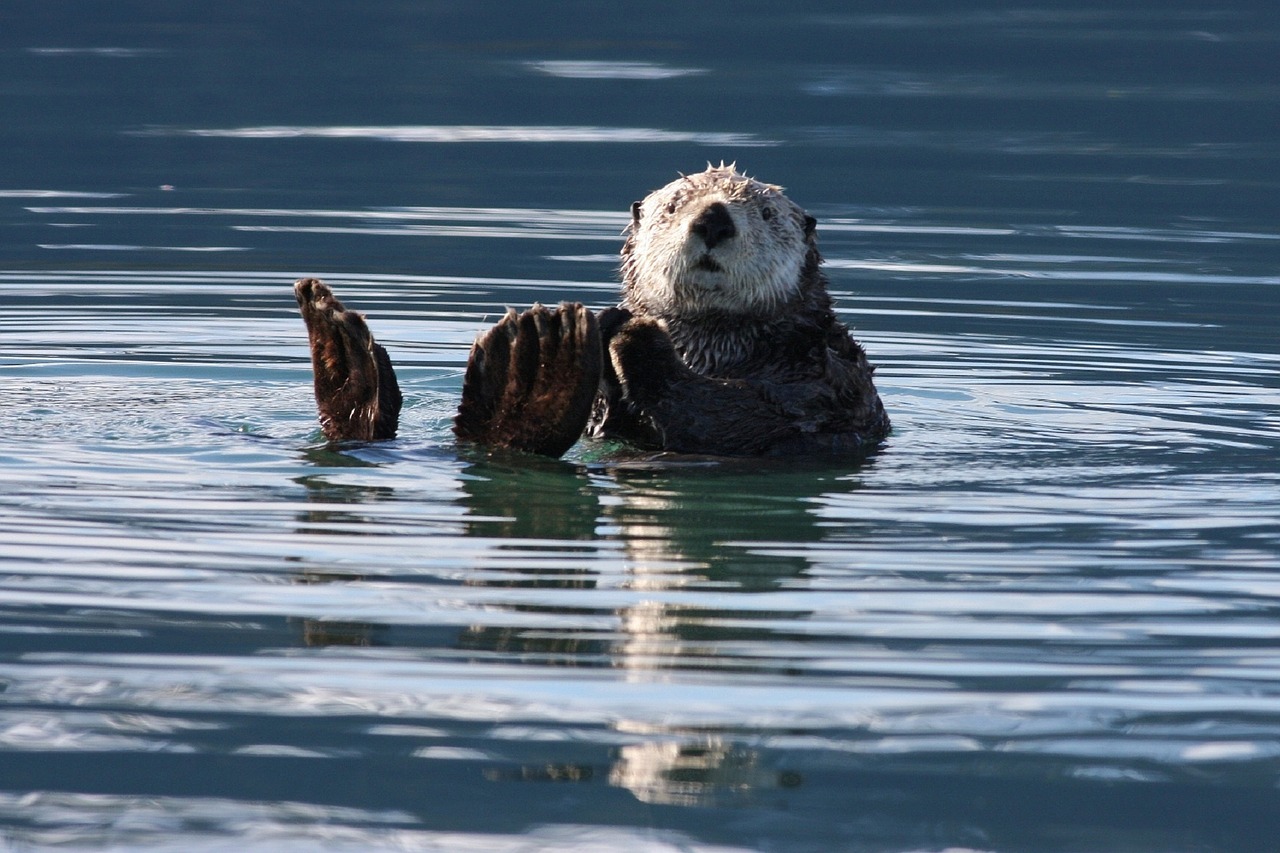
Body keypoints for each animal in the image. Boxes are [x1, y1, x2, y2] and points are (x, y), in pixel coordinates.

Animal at [295, 165, 889, 458]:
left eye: (765, 214)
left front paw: (636, 335)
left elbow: (748, 419)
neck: (711, 347)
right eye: (674, 206)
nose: (714, 219)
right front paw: (615, 322)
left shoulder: (827, 380)